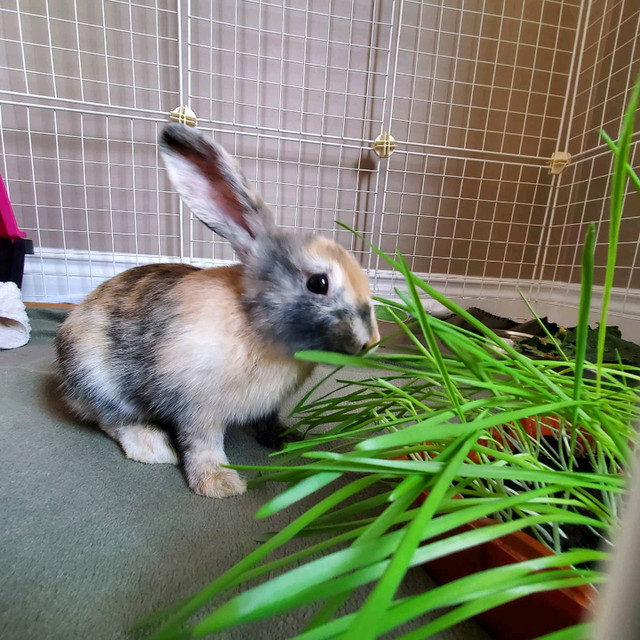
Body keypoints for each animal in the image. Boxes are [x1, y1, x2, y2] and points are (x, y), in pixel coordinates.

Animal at [54, 123, 380, 498]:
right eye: (318, 283)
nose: (371, 341)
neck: (255, 324)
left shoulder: (267, 405)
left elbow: (268, 421)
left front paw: (287, 439)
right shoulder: (197, 408)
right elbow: (203, 444)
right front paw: (220, 484)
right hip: (97, 379)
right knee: (112, 420)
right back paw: (153, 447)